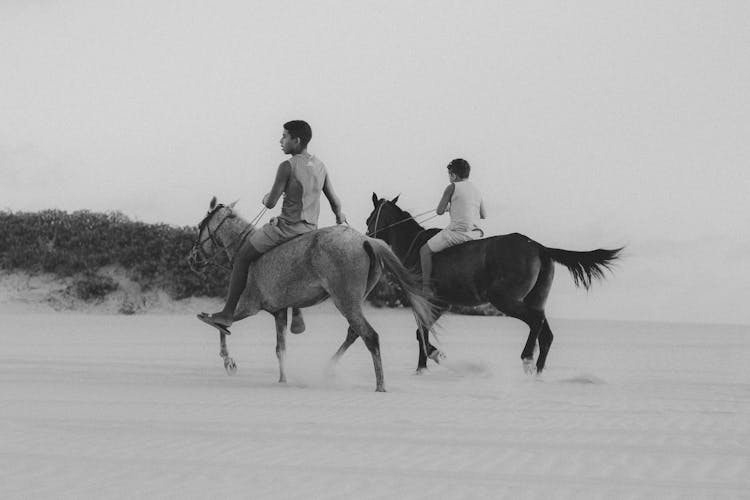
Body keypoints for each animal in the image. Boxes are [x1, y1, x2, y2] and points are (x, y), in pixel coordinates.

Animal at [187, 197, 434, 392]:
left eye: (200, 226)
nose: (192, 259)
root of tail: (366, 240)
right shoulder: (279, 312)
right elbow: (280, 348)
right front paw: (282, 379)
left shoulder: (248, 307)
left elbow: (222, 327)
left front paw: (228, 361)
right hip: (354, 302)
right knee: (354, 333)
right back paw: (330, 369)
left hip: (344, 301)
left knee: (370, 336)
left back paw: (380, 385)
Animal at [368, 195, 624, 376]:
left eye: (370, 218)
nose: (368, 236)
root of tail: (539, 246)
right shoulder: (439, 303)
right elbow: (421, 332)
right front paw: (424, 364)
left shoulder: (432, 302)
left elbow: (421, 332)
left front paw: (429, 360)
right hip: (535, 299)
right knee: (546, 333)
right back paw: (538, 373)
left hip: (504, 299)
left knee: (535, 322)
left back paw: (527, 360)